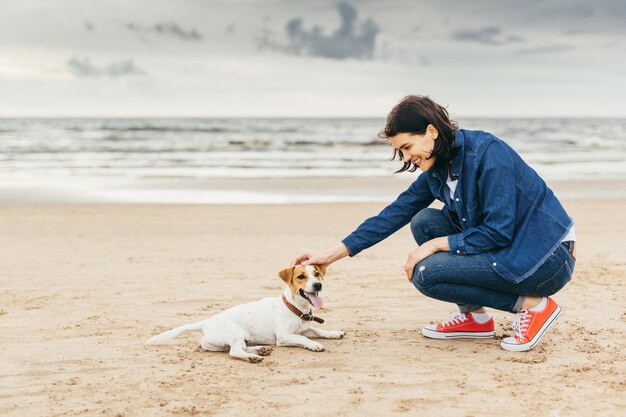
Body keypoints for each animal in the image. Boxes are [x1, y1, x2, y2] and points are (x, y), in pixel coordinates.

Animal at [144, 264, 344, 362]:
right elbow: (303, 338)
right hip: (235, 332)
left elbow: (318, 330)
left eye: (316, 274)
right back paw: (253, 357)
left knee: (237, 347)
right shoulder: (284, 337)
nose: (317, 285)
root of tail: (206, 323)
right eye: (301, 277)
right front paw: (314, 344)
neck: (295, 308)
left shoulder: (305, 327)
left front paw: (333, 333)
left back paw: (260, 349)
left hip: (237, 338)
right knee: (234, 351)